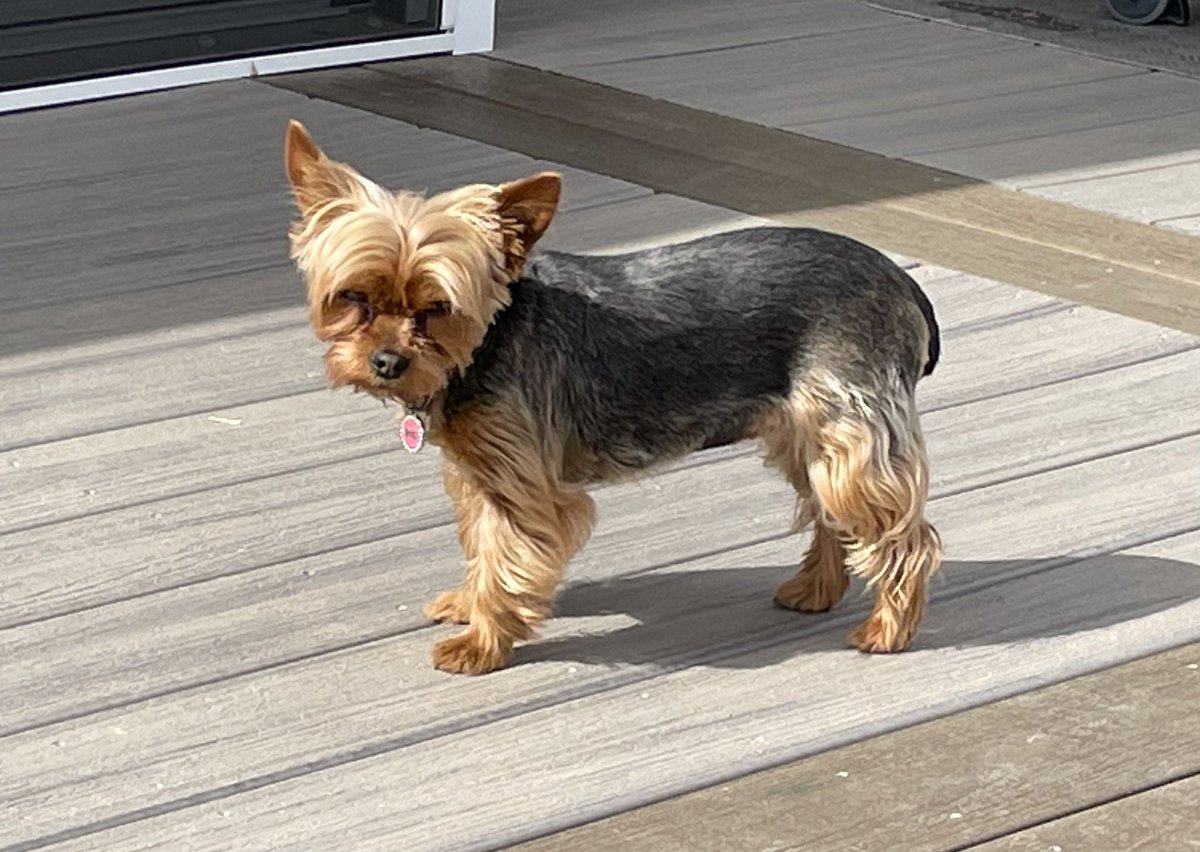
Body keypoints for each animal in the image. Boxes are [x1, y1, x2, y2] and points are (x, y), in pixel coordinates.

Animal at [285, 120, 940, 676]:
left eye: (439, 307)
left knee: (904, 535)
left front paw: (481, 642)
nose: (387, 363)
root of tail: (900, 280)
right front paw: (470, 603)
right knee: (832, 514)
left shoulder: (524, 482)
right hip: (806, 436)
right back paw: (814, 592)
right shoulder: (476, 472)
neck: (490, 338)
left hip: (845, 432)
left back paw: (886, 630)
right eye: (353, 297)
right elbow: (480, 544)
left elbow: (506, 558)